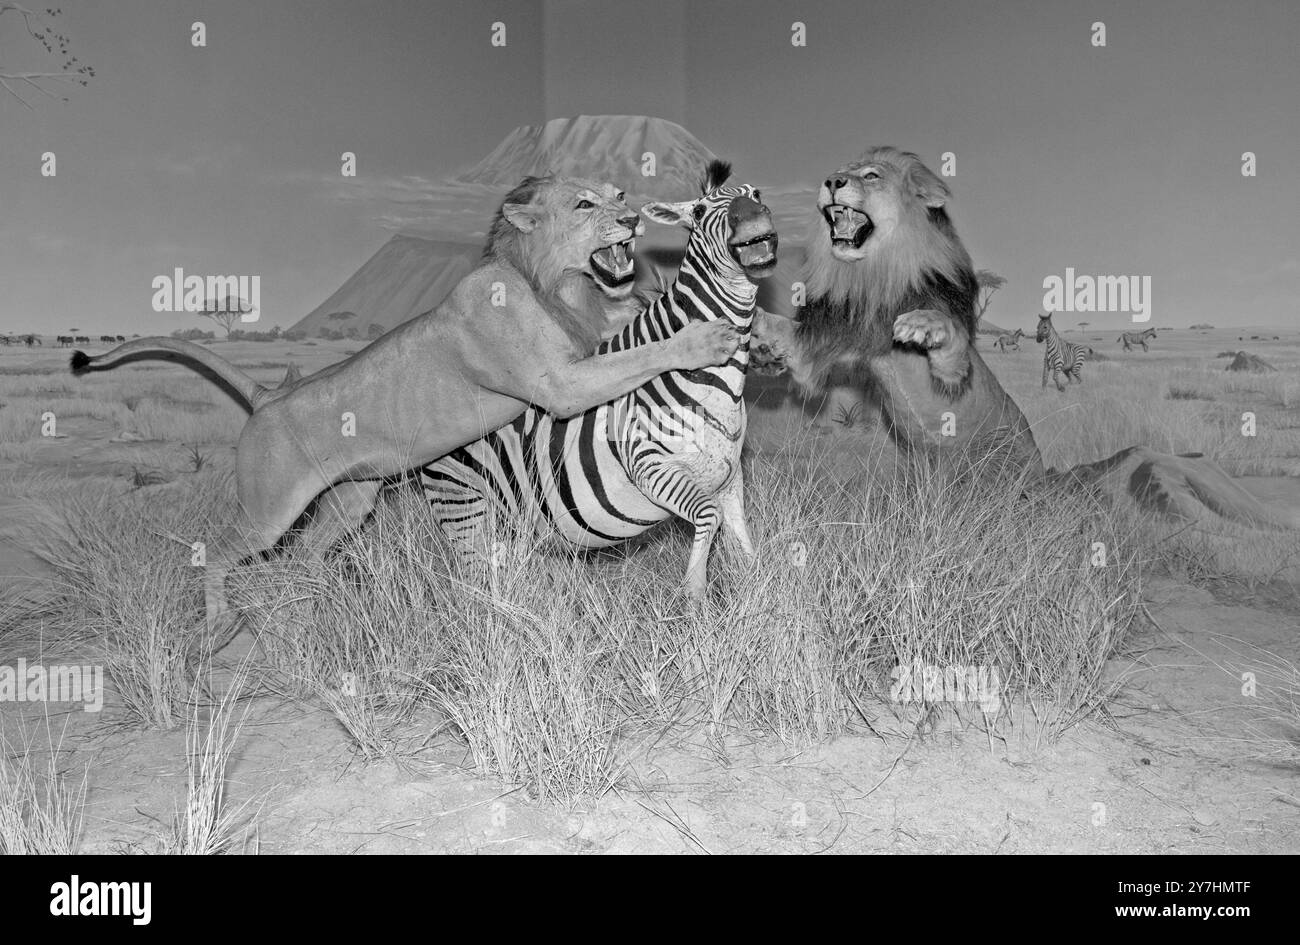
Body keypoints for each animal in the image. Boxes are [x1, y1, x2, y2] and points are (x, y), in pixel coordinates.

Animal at [71, 176, 741, 646]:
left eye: (619, 195)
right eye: (583, 205)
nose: (632, 218)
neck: (555, 283)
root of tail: (268, 399)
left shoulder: (584, 344)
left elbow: (632, 329)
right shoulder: (559, 384)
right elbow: (644, 352)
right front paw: (703, 338)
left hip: (352, 501)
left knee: (308, 555)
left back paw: (318, 606)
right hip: (269, 513)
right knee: (218, 551)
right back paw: (218, 628)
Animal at [421, 161, 778, 596]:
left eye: (757, 194)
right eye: (698, 211)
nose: (753, 217)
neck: (723, 380)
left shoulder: (729, 477)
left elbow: (744, 550)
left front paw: (756, 600)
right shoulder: (651, 464)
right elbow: (709, 523)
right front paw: (694, 599)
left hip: (516, 521)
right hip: (466, 510)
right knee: (477, 583)